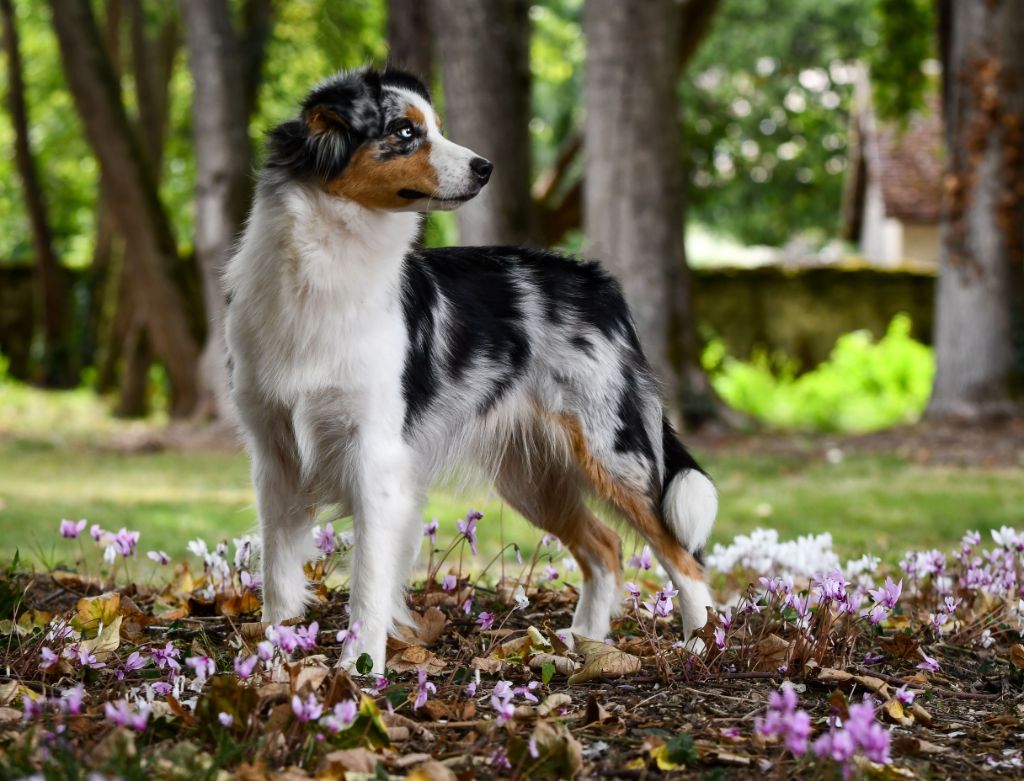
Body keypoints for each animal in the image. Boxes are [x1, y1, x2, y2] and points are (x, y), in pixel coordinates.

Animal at [227, 67, 716, 671]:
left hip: (611, 453)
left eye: (436, 127)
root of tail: (598, 282)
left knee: (682, 553)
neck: (327, 264)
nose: (486, 167)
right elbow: (276, 576)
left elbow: (367, 580)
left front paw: (360, 668)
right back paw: (584, 642)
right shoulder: (275, 455)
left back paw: (701, 641)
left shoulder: (375, 455)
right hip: (531, 477)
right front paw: (271, 659)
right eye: (405, 132)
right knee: (605, 546)